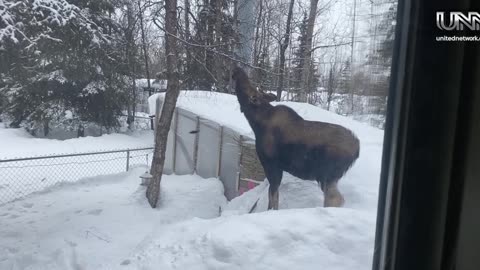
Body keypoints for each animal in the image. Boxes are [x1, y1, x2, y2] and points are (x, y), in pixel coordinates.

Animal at [232, 66, 360, 210]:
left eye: (246, 87)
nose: (237, 69)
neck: (256, 123)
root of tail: (357, 150)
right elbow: (273, 196)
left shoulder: (271, 165)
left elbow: (273, 197)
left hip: (327, 175)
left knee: (336, 198)